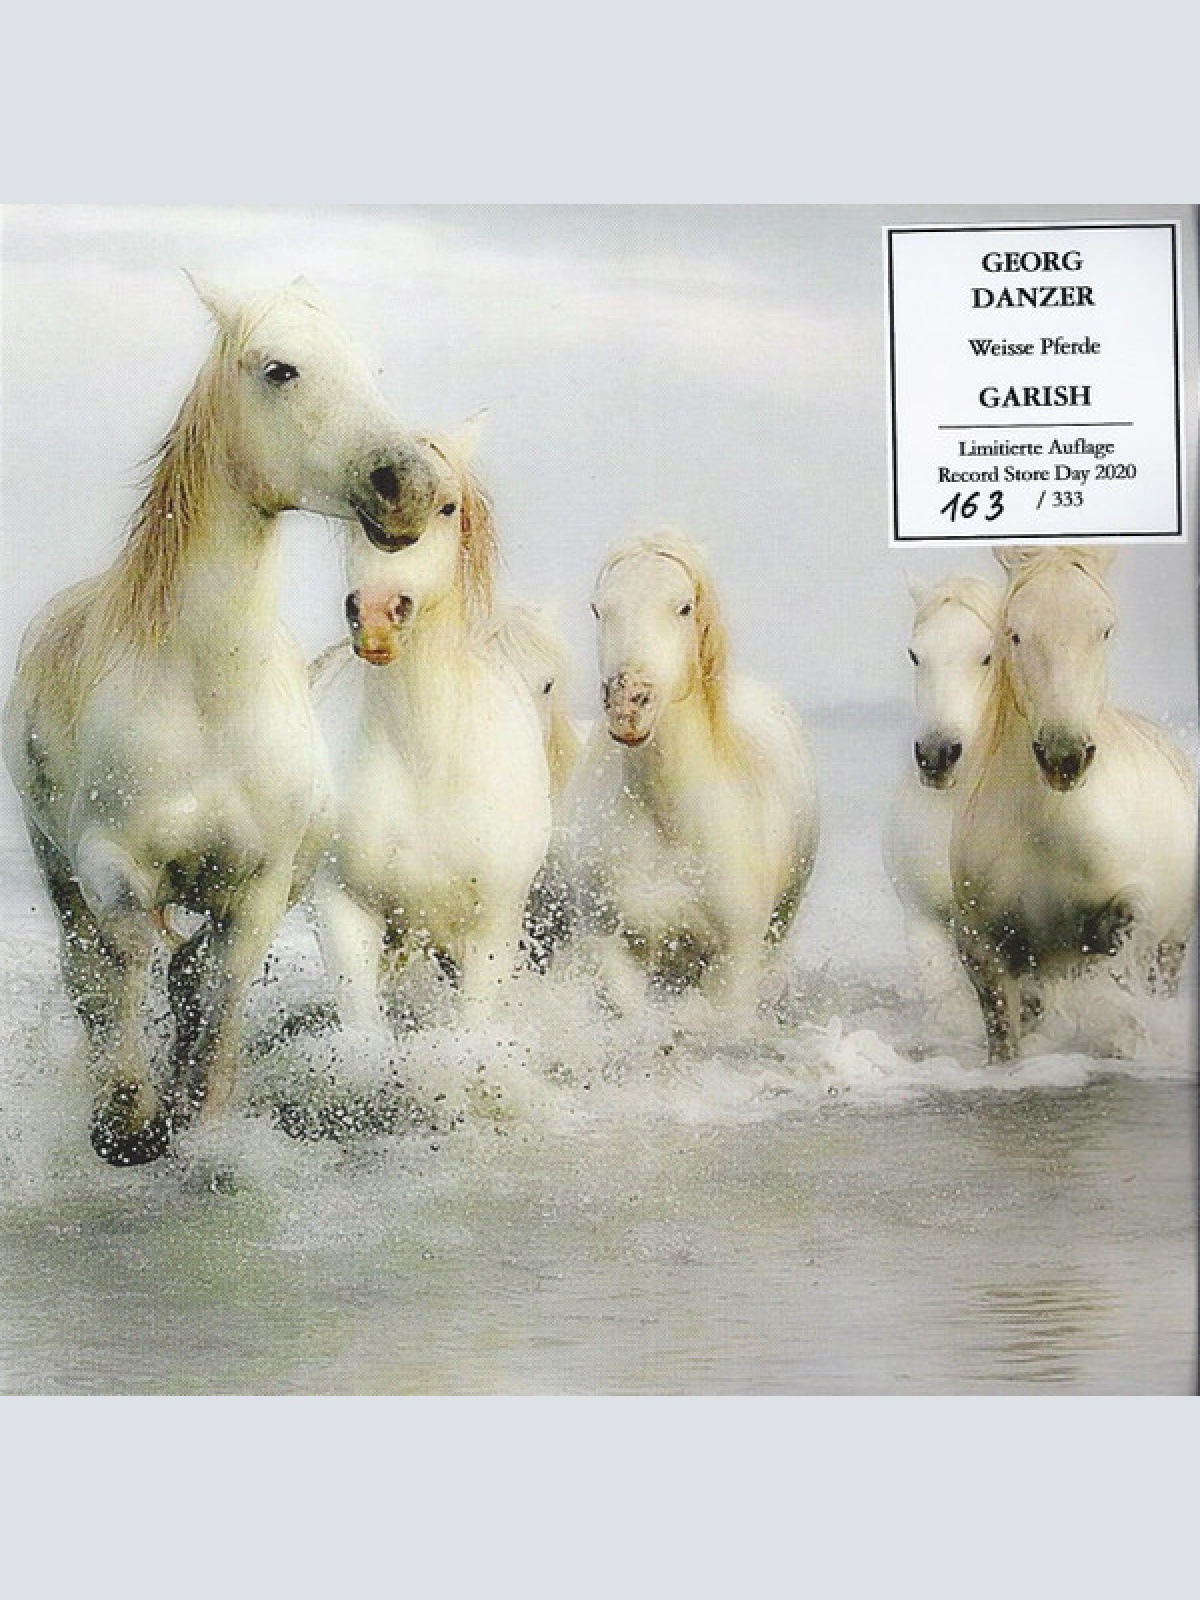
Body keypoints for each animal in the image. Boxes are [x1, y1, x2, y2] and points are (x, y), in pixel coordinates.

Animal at [2, 276, 436, 1165]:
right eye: (281, 369)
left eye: (367, 365)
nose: (407, 486)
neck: (209, 695)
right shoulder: (108, 863)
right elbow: (127, 958)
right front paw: (127, 1120)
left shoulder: (262, 886)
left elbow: (220, 983)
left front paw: (197, 1120)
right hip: (55, 865)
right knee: (89, 972)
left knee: (191, 972)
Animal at [563, 530, 820, 1016]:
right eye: (599, 609)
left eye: (682, 607)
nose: (628, 705)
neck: (668, 820)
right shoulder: (616, 951)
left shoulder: (733, 965)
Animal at [951, 546, 1196, 1062]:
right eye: (1016, 633)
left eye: (1104, 630)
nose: (1064, 755)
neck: (1048, 828)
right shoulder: (983, 947)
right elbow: (1005, 1037)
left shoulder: (1133, 913)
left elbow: (1122, 942)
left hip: (1173, 944)